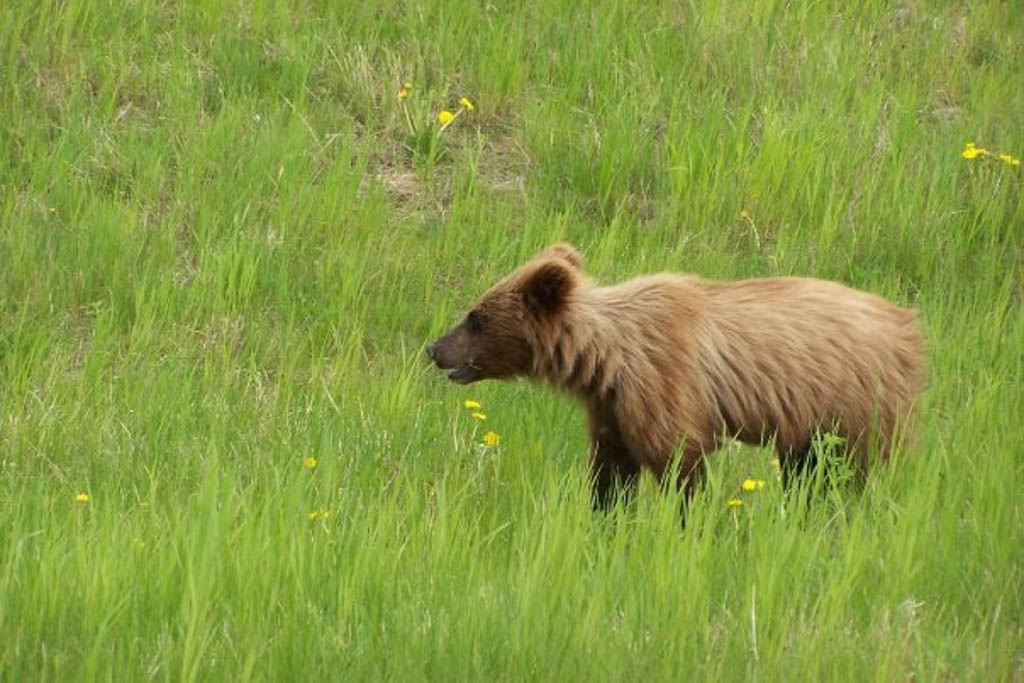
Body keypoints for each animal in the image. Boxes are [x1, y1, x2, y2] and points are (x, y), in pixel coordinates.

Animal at [427, 243, 926, 509]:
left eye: (476, 317)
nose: (434, 349)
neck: (605, 360)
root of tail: (908, 326)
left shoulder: (666, 382)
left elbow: (679, 463)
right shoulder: (612, 407)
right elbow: (610, 472)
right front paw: (606, 522)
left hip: (852, 402)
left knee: (843, 472)